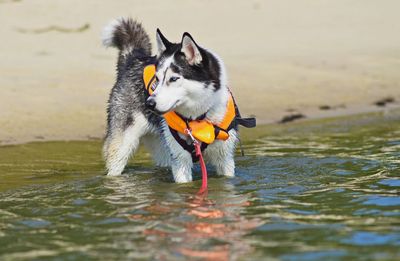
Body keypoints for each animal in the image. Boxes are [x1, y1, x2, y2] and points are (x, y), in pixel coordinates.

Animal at [102, 18, 238, 182]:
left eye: (173, 79)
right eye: (157, 79)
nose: (149, 103)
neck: (198, 118)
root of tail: (135, 58)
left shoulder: (225, 158)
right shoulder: (181, 160)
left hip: (162, 148)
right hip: (122, 147)